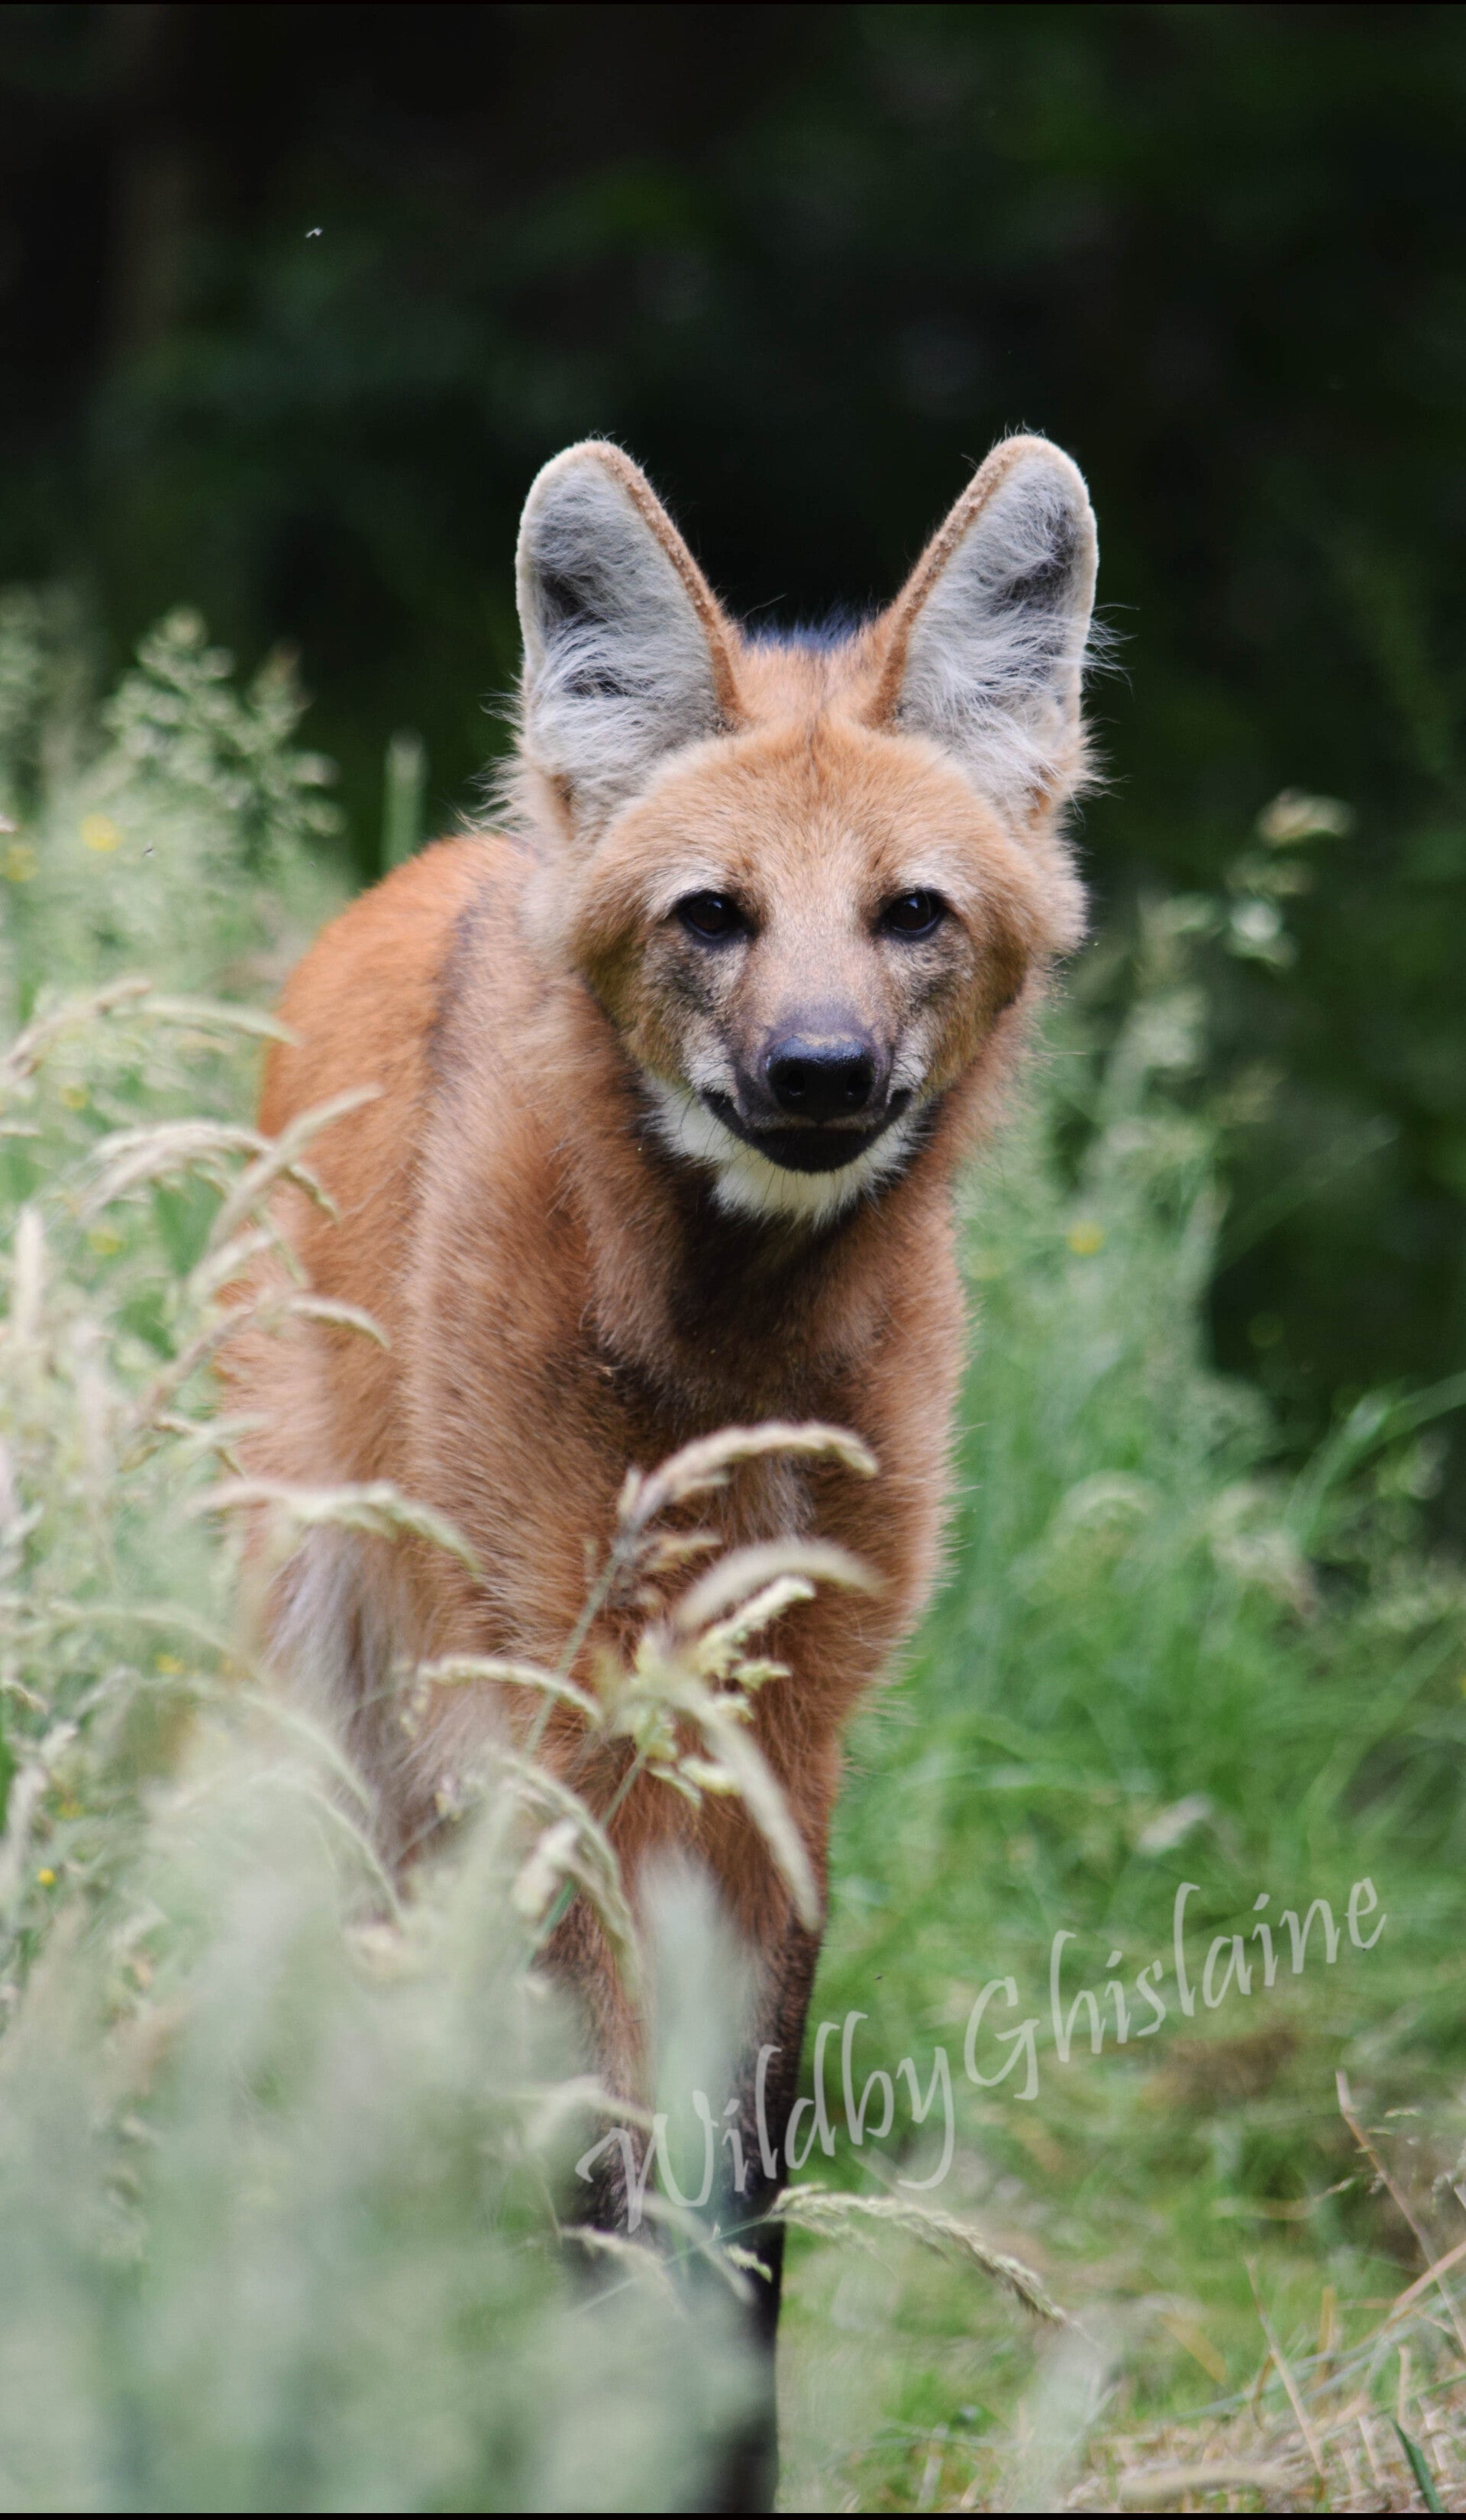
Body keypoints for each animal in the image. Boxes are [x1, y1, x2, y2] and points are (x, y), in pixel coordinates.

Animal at [229, 432, 1097, 2505]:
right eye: (714, 914)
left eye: (911, 913)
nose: (817, 1070)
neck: (725, 1348)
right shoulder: (569, 1708)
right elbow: (615, 2174)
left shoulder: (776, 1725)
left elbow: (738, 2187)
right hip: (331, 1653)